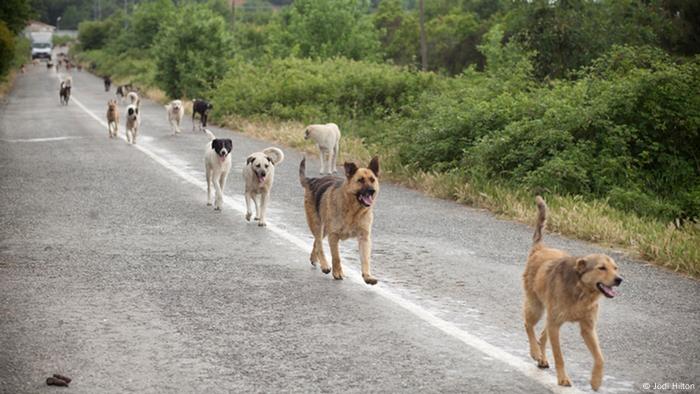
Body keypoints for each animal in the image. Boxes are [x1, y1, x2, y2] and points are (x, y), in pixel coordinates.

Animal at [298, 155, 380, 284]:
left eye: (372, 180)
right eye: (360, 180)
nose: (372, 190)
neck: (353, 211)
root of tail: (312, 180)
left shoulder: (364, 238)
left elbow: (365, 259)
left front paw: (367, 276)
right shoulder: (334, 236)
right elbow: (336, 257)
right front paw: (337, 273)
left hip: (324, 229)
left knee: (316, 242)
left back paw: (314, 258)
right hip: (317, 225)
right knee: (319, 244)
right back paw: (324, 265)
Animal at [520, 197, 624, 390]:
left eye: (615, 268)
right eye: (601, 268)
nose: (619, 279)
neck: (581, 291)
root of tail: (540, 248)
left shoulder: (588, 328)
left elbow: (600, 358)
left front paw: (596, 380)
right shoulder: (556, 325)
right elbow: (559, 356)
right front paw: (562, 378)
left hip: (549, 316)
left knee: (542, 335)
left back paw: (542, 358)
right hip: (536, 307)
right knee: (528, 326)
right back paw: (535, 352)